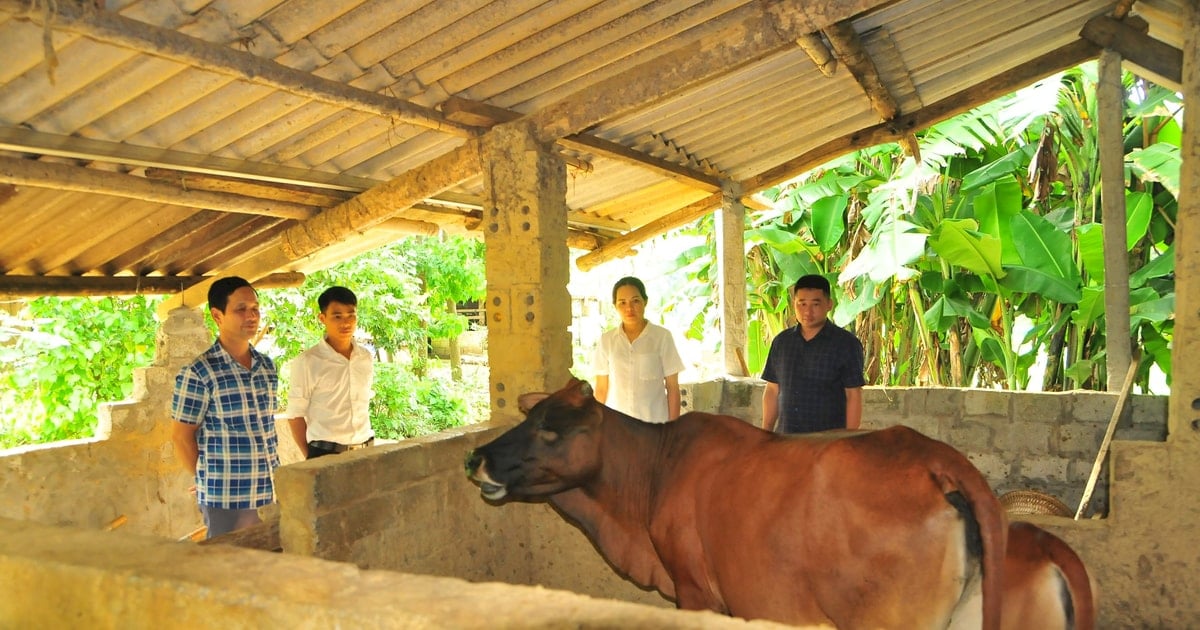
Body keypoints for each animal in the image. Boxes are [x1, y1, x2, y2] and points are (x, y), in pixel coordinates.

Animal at [463, 376, 1008, 624]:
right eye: (529, 418)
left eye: (550, 430)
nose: (475, 458)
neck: (654, 469)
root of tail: (933, 456)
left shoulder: (692, 591)